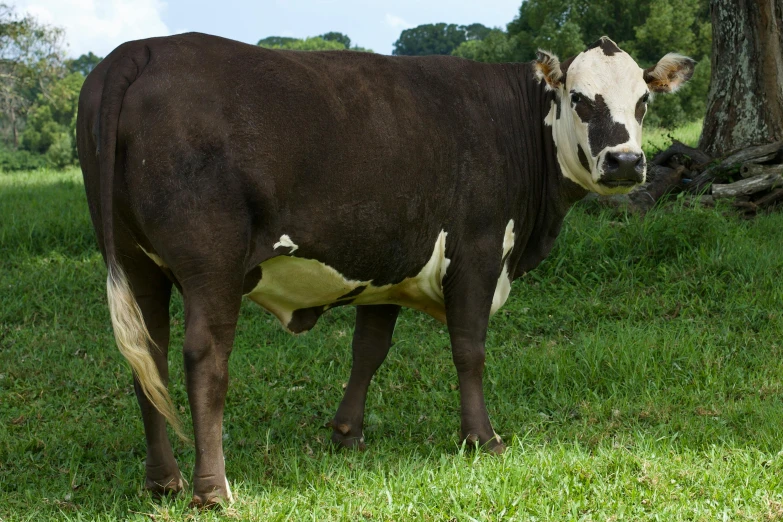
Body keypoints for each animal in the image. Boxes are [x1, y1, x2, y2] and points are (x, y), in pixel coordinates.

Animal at [76, 32, 696, 504]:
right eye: (582, 99)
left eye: (643, 102)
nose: (626, 162)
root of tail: (142, 49)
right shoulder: (477, 253)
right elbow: (469, 350)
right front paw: (481, 438)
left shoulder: (386, 268)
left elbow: (369, 350)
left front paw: (347, 433)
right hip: (213, 268)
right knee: (205, 361)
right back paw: (213, 489)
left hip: (137, 265)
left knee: (147, 359)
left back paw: (164, 481)